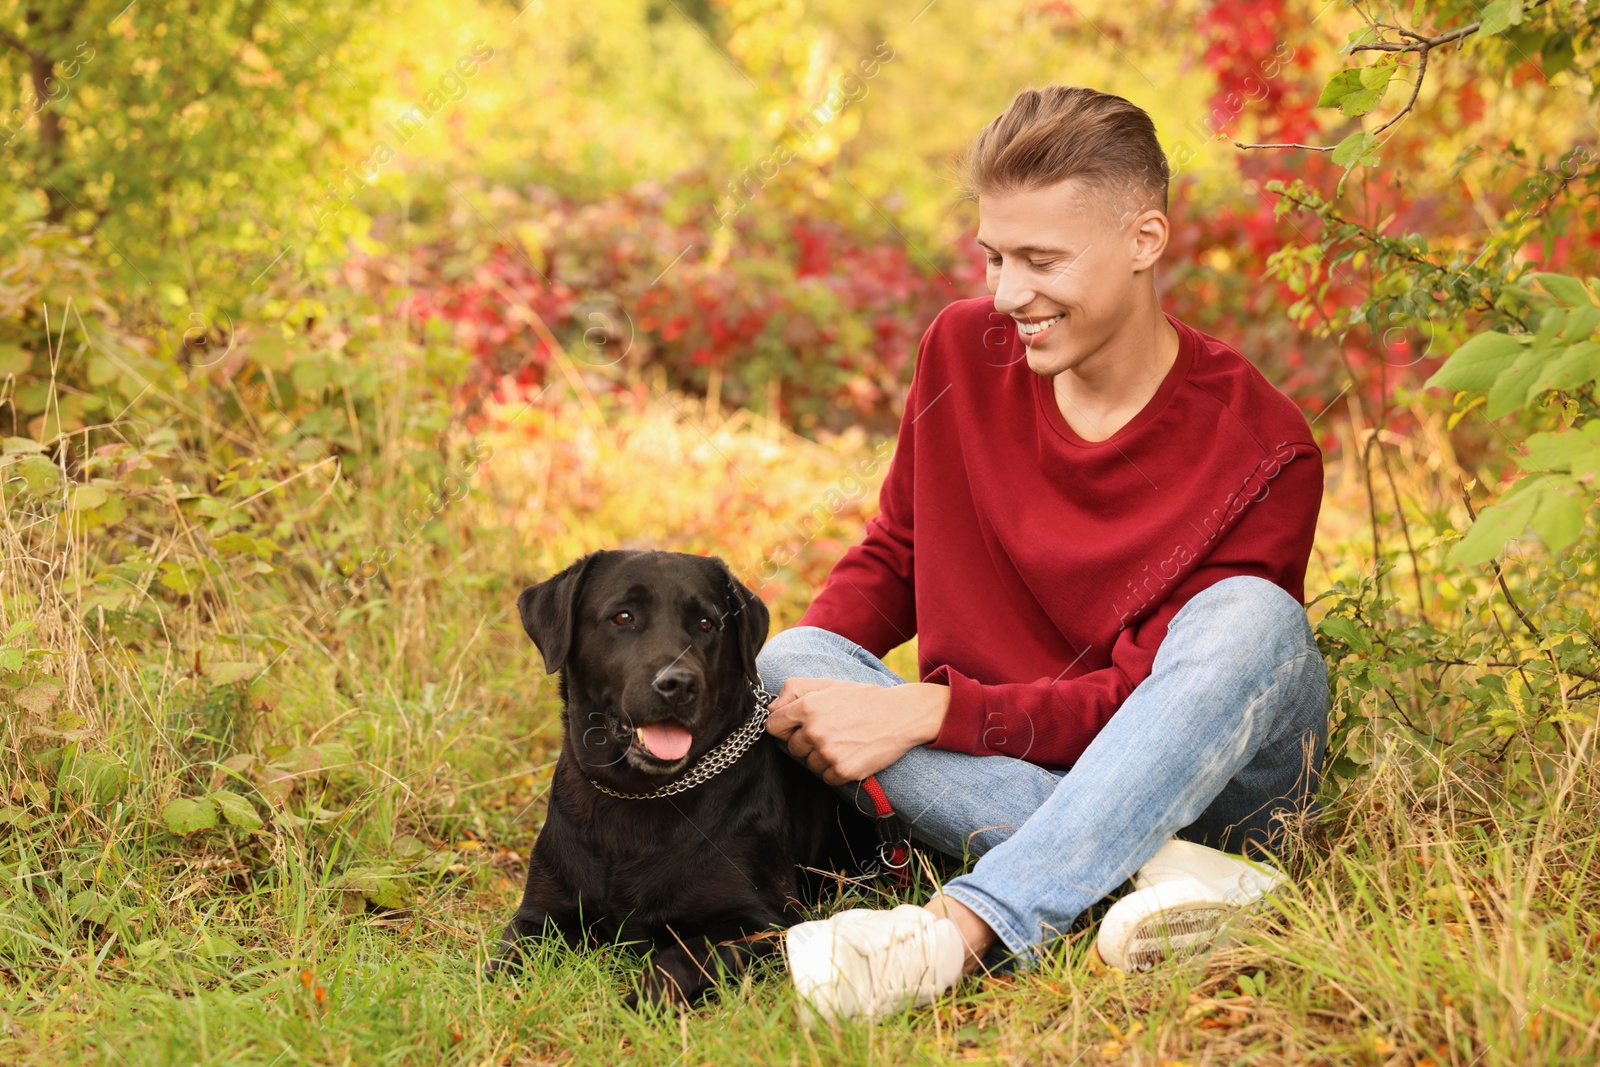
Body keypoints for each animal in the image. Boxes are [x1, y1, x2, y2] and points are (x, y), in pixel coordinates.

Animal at [486, 550, 883, 1011]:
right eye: (623, 616)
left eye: (707, 623)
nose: (678, 685)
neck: (638, 797)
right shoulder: (540, 914)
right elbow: (506, 960)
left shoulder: (766, 921)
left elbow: (682, 956)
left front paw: (636, 1005)